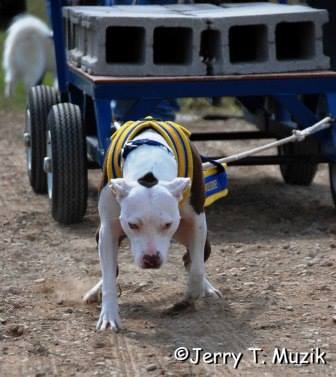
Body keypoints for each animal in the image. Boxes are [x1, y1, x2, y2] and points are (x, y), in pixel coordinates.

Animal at [83, 117, 223, 328]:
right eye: (133, 225)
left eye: (167, 224)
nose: (151, 259)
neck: (149, 168)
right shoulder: (108, 230)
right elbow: (108, 275)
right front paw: (109, 315)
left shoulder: (197, 223)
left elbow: (197, 269)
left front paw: (191, 295)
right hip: (101, 235)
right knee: (111, 268)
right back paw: (95, 291)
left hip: (197, 237)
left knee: (192, 259)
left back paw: (206, 287)